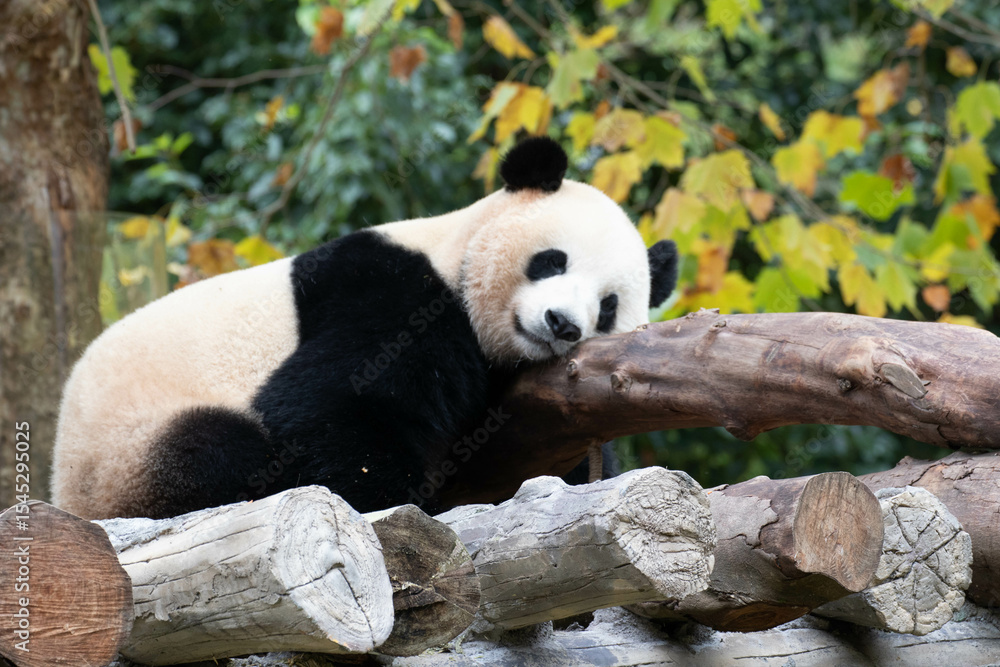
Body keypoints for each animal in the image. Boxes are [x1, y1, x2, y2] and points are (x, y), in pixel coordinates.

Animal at [51, 137, 678, 520]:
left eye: (608, 307)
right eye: (551, 261)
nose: (562, 324)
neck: (454, 253)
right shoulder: (390, 292)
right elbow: (334, 403)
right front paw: (395, 505)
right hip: (122, 454)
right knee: (215, 449)